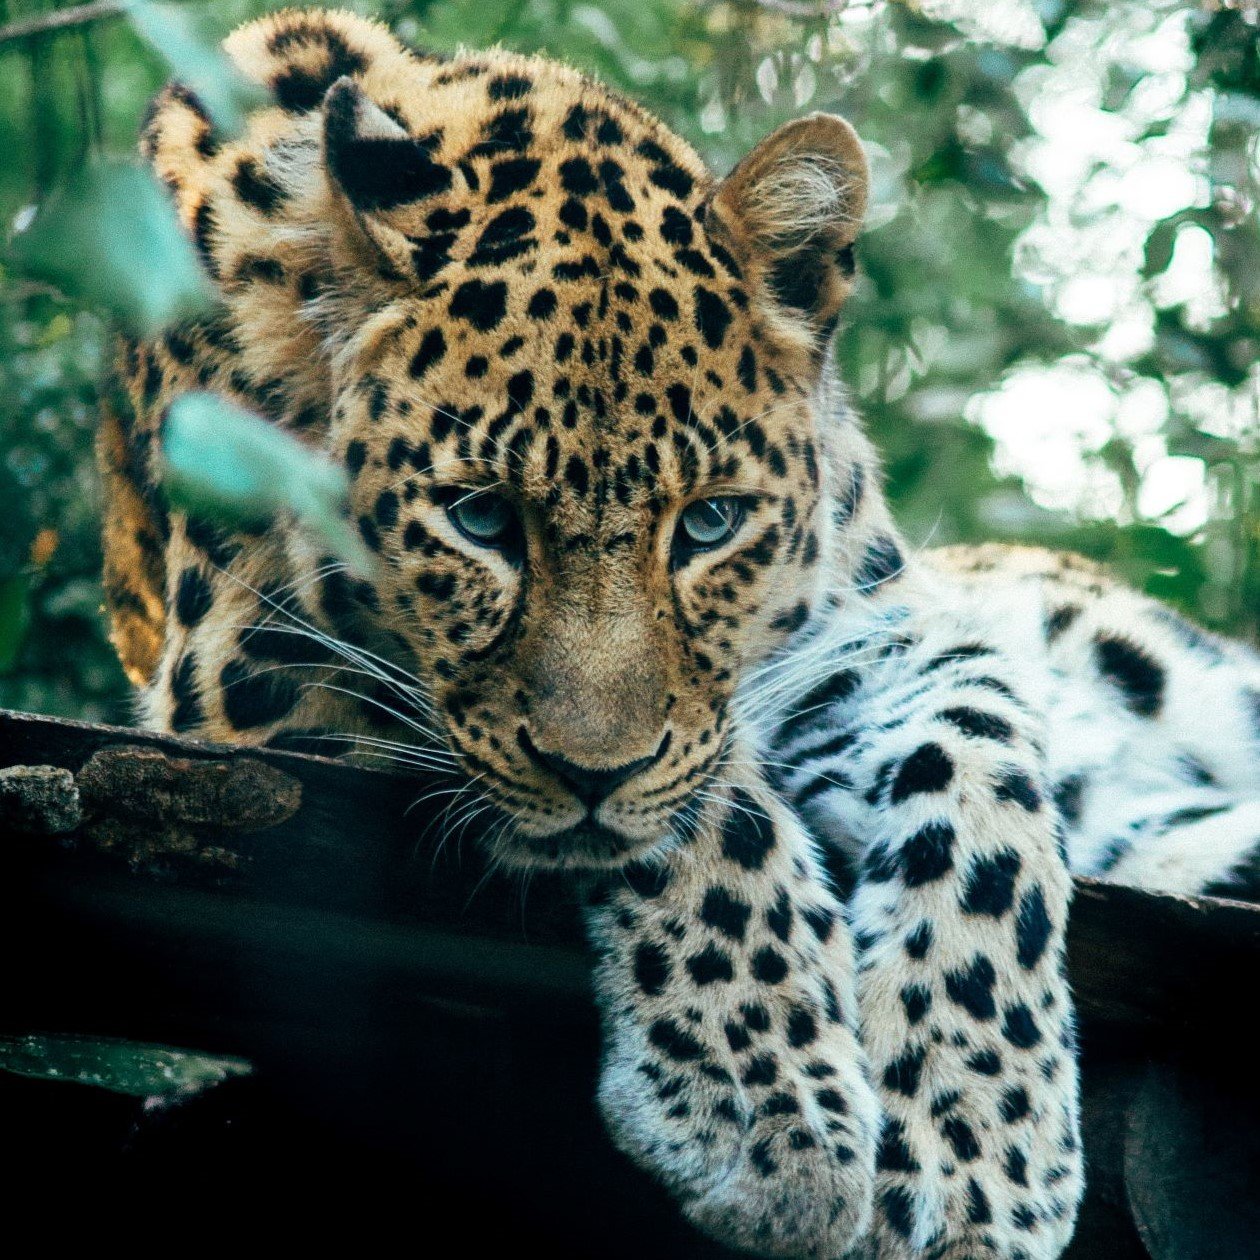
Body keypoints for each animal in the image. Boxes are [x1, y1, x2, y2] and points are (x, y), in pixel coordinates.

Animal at [95, 4, 1260, 1254]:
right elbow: (710, 804)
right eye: (478, 517)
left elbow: (981, 759)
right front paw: (772, 1114)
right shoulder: (246, 667)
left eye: (710, 522)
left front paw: (975, 1147)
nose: (590, 773)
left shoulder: (864, 631)